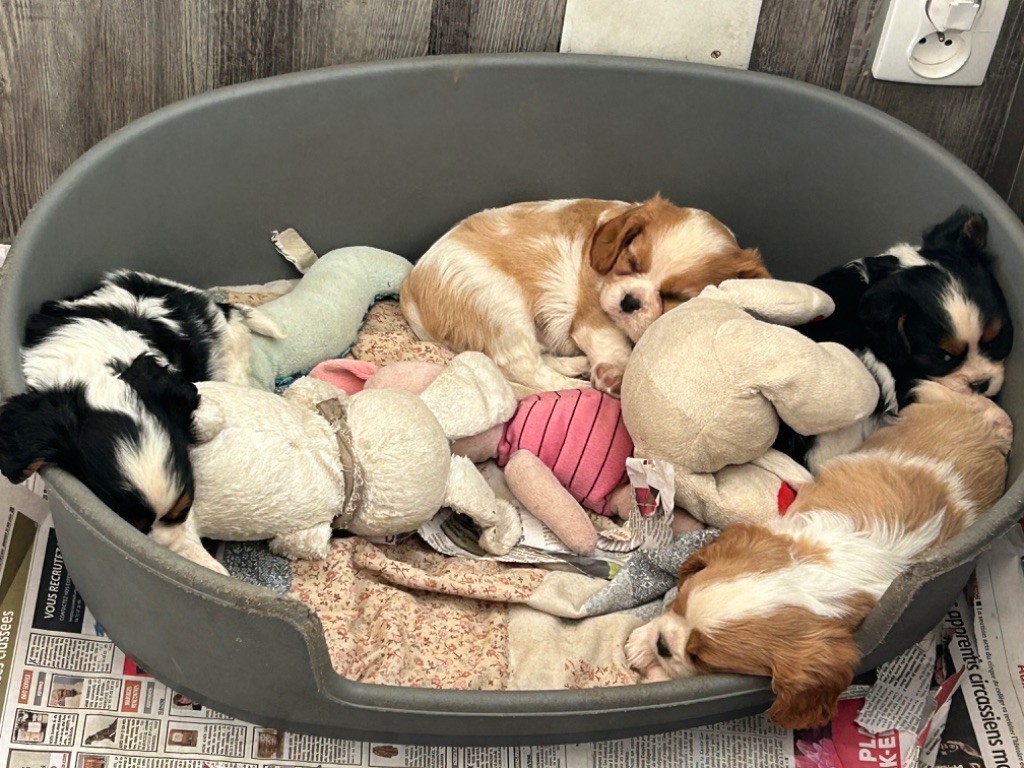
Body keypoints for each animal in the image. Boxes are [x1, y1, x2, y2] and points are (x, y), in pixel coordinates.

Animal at [399, 196, 770, 397]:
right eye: (630, 262)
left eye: (675, 295)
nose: (630, 302)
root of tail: (411, 289)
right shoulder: (594, 316)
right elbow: (615, 346)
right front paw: (614, 375)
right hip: (497, 301)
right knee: (521, 365)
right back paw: (578, 386)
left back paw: (575, 364)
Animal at [622, 382, 1007, 729]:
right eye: (679, 602)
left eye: (700, 658)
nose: (662, 644)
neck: (825, 569)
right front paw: (642, 642)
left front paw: (653, 667)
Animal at [778, 204, 1011, 468]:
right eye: (943, 357)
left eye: (996, 341)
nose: (980, 384)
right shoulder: (902, 380)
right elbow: (951, 394)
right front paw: (1000, 423)